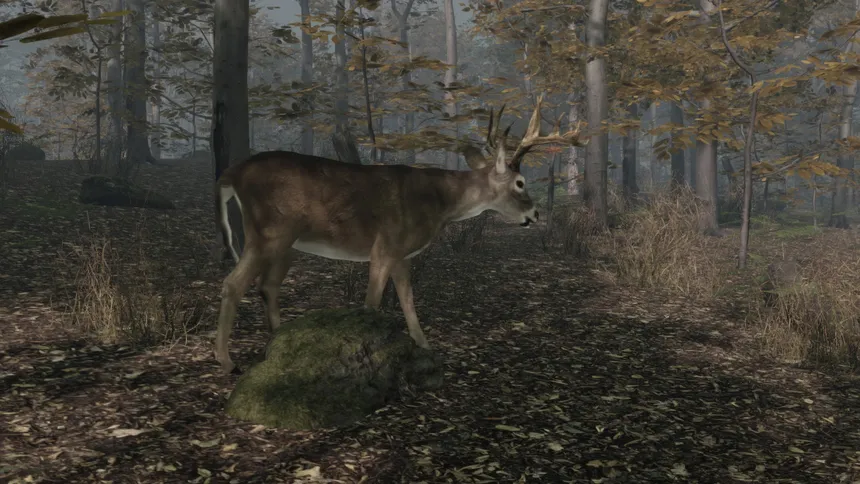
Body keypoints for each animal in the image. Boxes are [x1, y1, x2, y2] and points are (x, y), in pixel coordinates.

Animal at [213, 95, 582, 374]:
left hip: (285, 242)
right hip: (268, 231)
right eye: (520, 183)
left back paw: (277, 343)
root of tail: (231, 174)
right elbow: (372, 304)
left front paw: (425, 346)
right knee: (233, 283)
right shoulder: (385, 245)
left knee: (267, 286)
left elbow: (407, 299)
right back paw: (227, 361)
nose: (535, 214)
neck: (439, 203)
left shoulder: (402, 254)